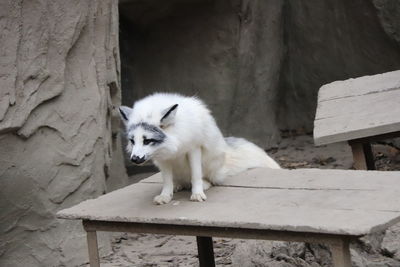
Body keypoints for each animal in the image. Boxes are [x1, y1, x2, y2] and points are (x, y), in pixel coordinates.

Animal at [120, 92, 280, 205]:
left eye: (147, 140)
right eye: (132, 141)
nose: (134, 159)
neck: (175, 141)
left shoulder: (194, 148)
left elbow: (195, 175)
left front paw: (197, 193)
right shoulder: (163, 157)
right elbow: (166, 181)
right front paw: (165, 196)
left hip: (212, 165)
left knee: (206, 179)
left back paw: (204, 184)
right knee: (178, 181)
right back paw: (178, 185)